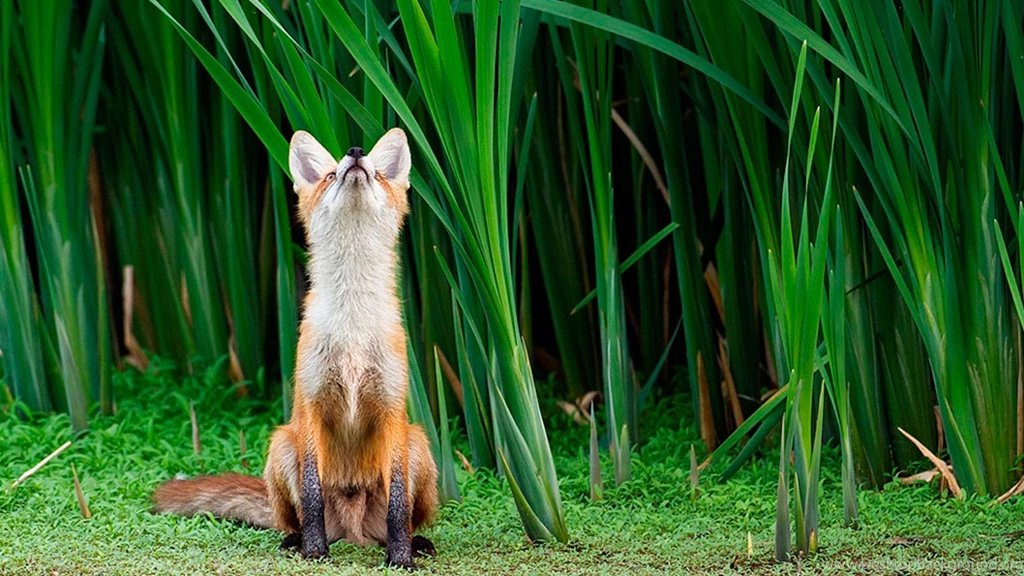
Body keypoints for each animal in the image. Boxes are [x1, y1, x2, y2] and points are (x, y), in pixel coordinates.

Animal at [153, 128, 438, 568]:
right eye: (331, 175)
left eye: (376, 173)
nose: (356, 153)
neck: (352, 329)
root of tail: (353, 531)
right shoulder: (311, 406)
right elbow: (312, 493)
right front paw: (315, 552)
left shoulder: (392, 411)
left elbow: (396, 506)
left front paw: (401, 558)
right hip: (282, 445)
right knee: (296, 517)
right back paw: (296, 540)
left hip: (418, 445)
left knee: (403, 516)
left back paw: (415, 542)